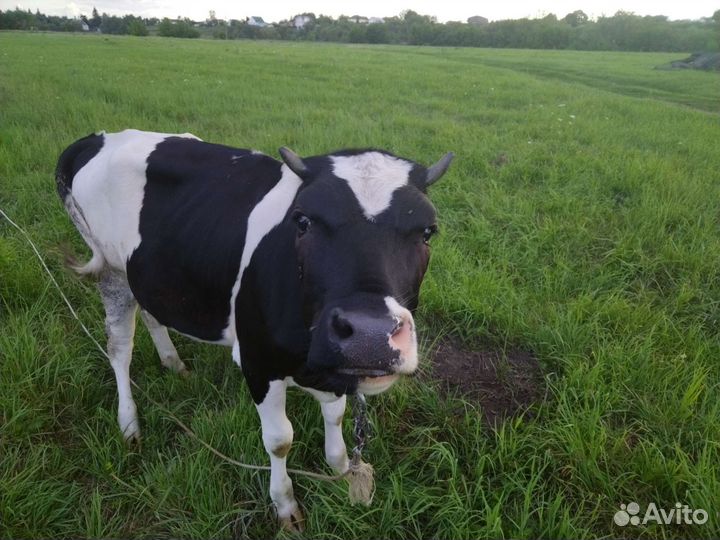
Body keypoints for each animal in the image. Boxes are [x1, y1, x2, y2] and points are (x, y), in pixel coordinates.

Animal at [55, 129, 453, 531]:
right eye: (303, 221)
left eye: (427, 232)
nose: (370, 335)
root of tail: (102, 136)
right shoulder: (258, 361)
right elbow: (280, 439)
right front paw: (285, 504)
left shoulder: (332, 367)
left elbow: (335, 414)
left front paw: (342, 469)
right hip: (112, 270)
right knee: (119, 349)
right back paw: (129, 423)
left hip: (150, 274)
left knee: (153, 314)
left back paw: (173, 363)